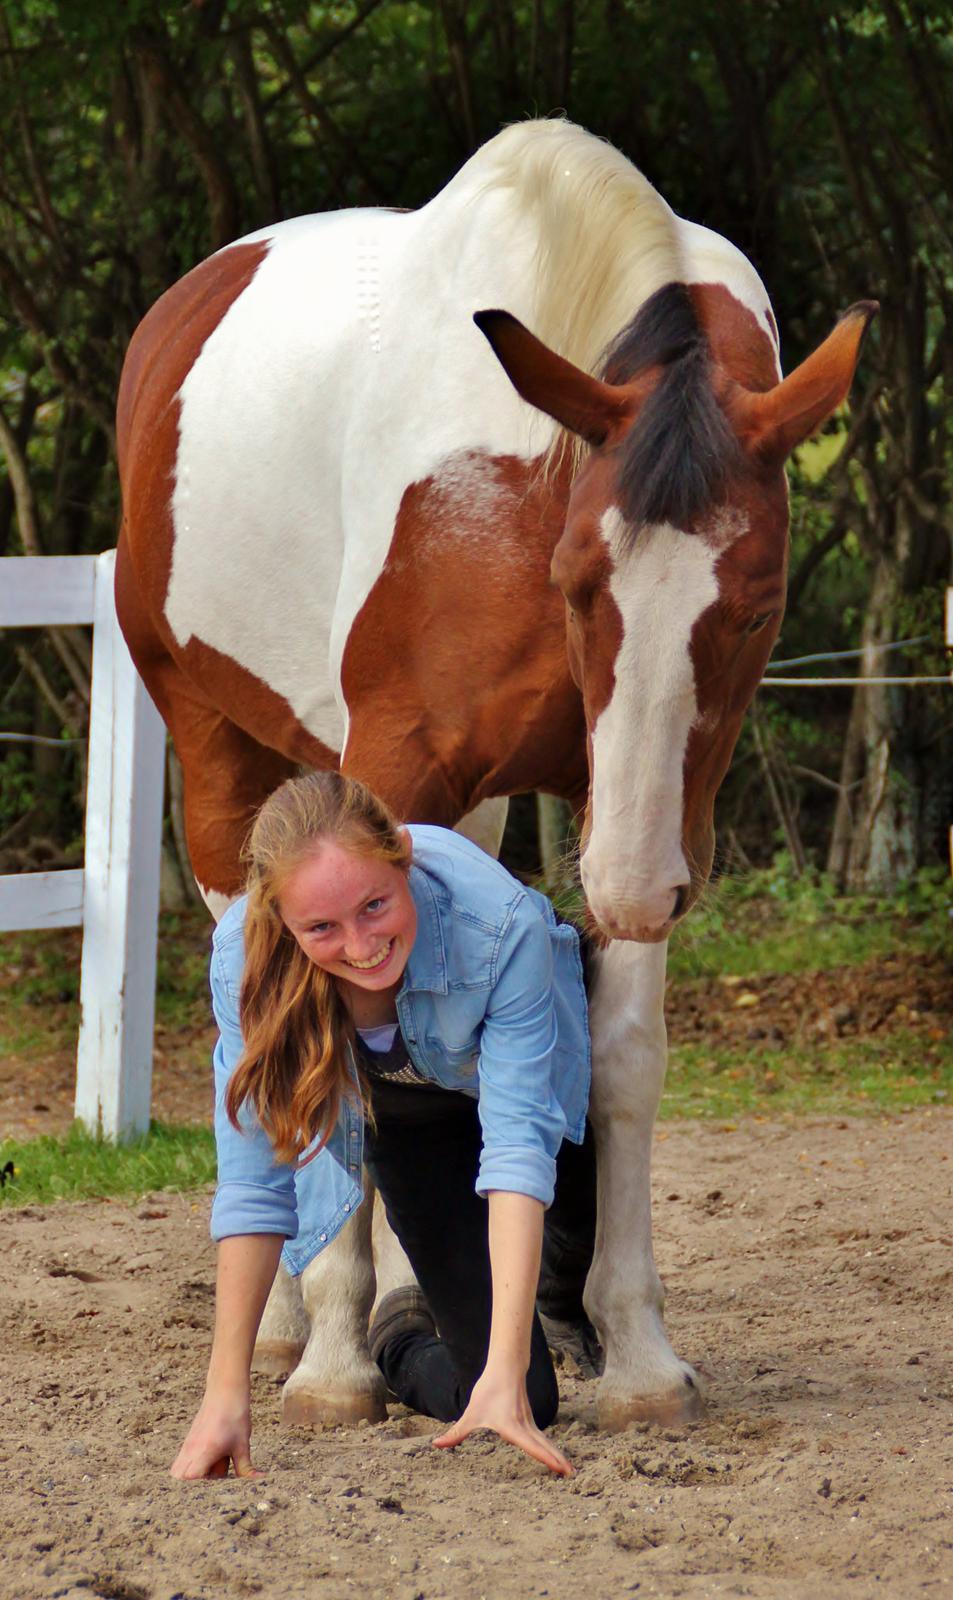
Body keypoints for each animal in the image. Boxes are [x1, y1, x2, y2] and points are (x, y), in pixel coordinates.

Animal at [115, 118, 876, 1433]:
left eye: (756, 604)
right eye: (577, 580)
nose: (629, 885)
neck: (514, 481)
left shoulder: (622, 808)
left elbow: (612, 1062)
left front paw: (634, 1353)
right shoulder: (400, 769)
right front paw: (334, 1364)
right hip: (215, 751)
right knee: (254, 1020)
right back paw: (291, 1320)